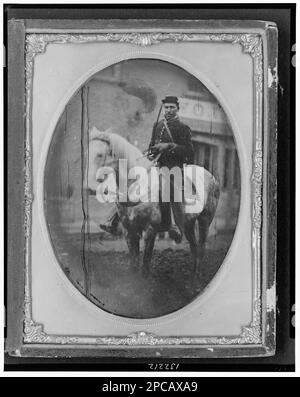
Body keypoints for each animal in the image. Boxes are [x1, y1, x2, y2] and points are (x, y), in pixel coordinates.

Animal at [85, 127, 219, 276]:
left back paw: (197, 275)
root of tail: (211, 176)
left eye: (99, 155)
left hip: (205, 220)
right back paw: (192, 273)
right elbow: (134, 262)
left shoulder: (150, 230)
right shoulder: (129, 231)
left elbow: (146, 261)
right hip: (188, 223)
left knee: (201, 247)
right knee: (193, 246)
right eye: (87, 153)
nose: (89, 187)